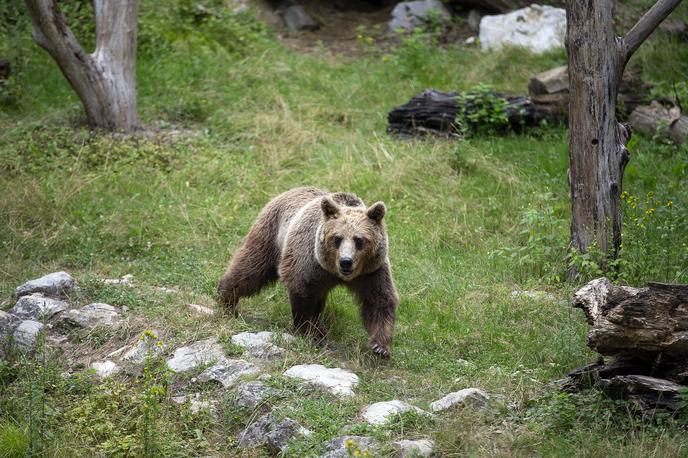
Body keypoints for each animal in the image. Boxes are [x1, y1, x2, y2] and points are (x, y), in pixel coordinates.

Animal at [218, 186, 400, 358]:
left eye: (359, 240)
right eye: (337, 238)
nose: (346, 261)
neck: (334, 272)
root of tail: (288, 191)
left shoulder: (371, 271)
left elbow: (379, 301)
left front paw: (380, 347)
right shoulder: (309, 263)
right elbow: (302, 293)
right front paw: (307, 331)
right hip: (270, 234)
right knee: (251, 268)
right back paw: (226, 298)